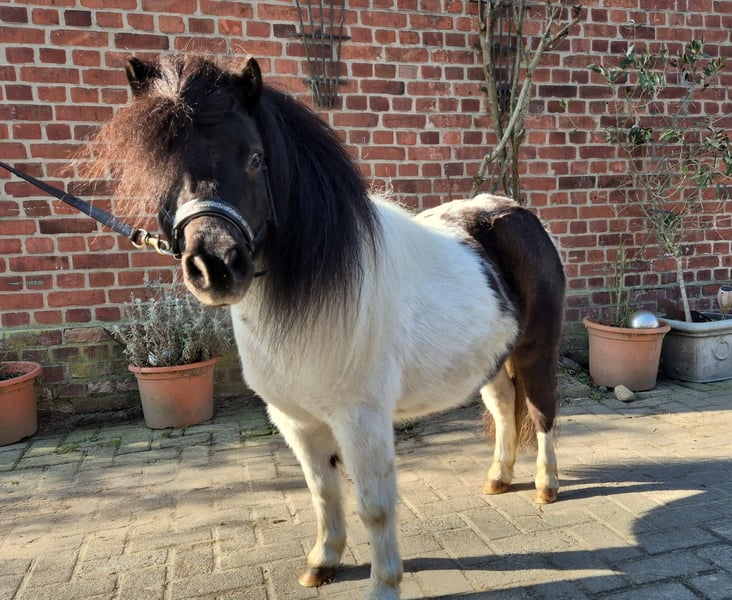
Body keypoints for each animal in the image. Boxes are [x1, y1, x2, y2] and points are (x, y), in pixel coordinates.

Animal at [88, 54, 566, 600]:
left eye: (255, 158)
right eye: (162, 170)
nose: (215, 266)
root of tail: (520, 215)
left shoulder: (362, 420)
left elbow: (374, 507)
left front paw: (383, 586)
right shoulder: (296, 420)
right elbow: (323, 491)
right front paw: (323, 562)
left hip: (536, 350)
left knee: (542, 413)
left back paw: (546, 487)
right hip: (488, 359)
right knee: (506, 407)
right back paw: (499, 478)